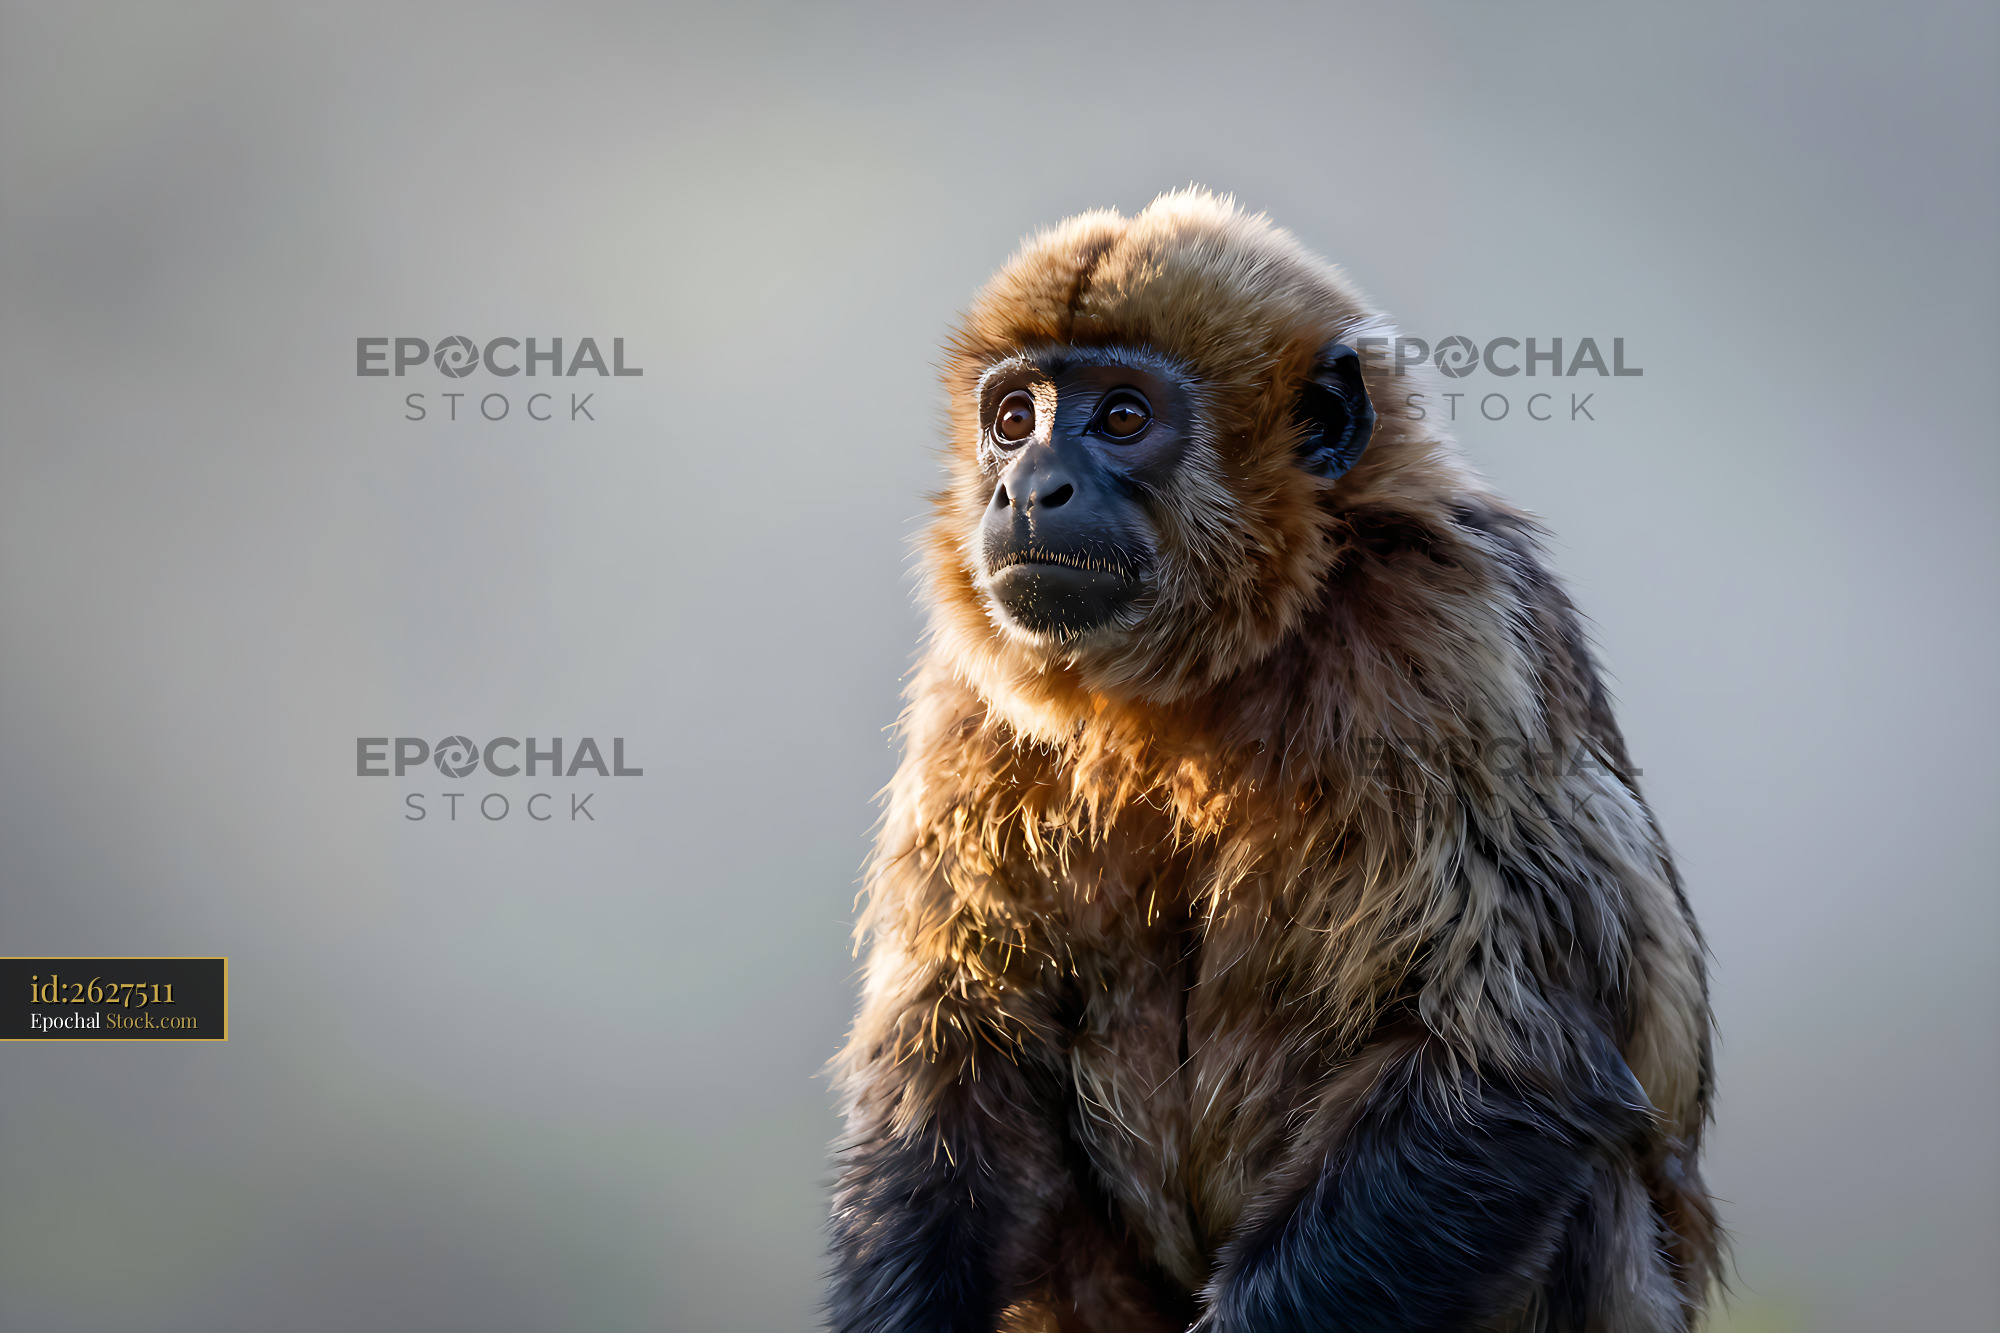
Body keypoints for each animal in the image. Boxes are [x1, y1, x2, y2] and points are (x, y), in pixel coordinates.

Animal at [827, 190, 1718, 1333]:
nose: (1028, 488)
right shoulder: (973, 693)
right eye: (1014, 418)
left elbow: (1512, 1057)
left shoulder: (1444, 633)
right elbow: (960, 1033)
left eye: (1123, 417)